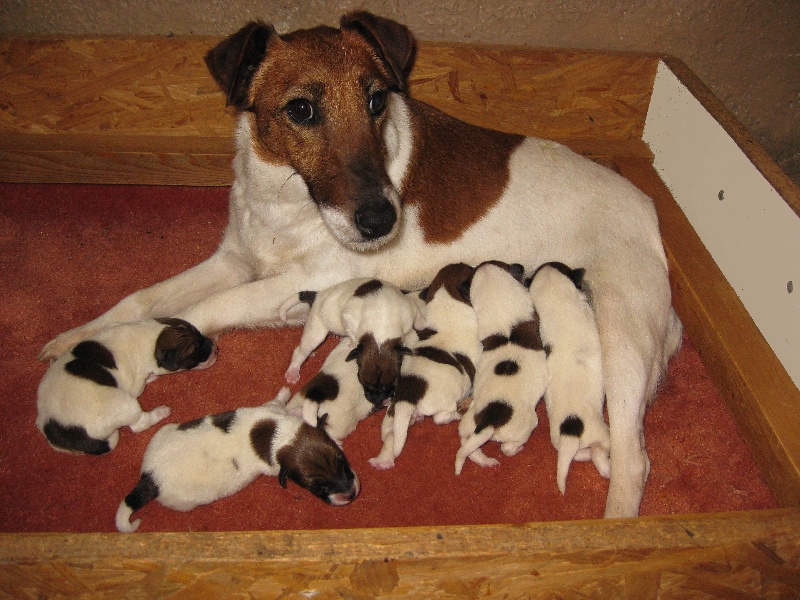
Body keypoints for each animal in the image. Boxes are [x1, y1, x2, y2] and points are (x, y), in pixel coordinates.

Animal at [36, 318, 217, 454]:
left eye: (200, 334)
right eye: (195, 351)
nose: (216, 349)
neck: (150, 336)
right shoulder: (136, 382)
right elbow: (141, 384)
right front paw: (152, 377)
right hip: (125, 404)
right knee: (138, 424)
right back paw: (160, 412)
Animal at [115, 386, 360, 532]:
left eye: (343, 463)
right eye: (317, 487)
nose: (351, 494)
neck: (281, 436)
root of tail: (149, 478)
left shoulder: (272, 410)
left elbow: (277, 402)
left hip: (162, 433)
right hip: (184, 500)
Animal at [456, 262, 552, 474]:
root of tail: (488, 422)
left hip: (468, 423)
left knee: (466, 444)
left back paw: (485, 461)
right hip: (527, 424)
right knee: (507, 448)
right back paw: (515, 449)